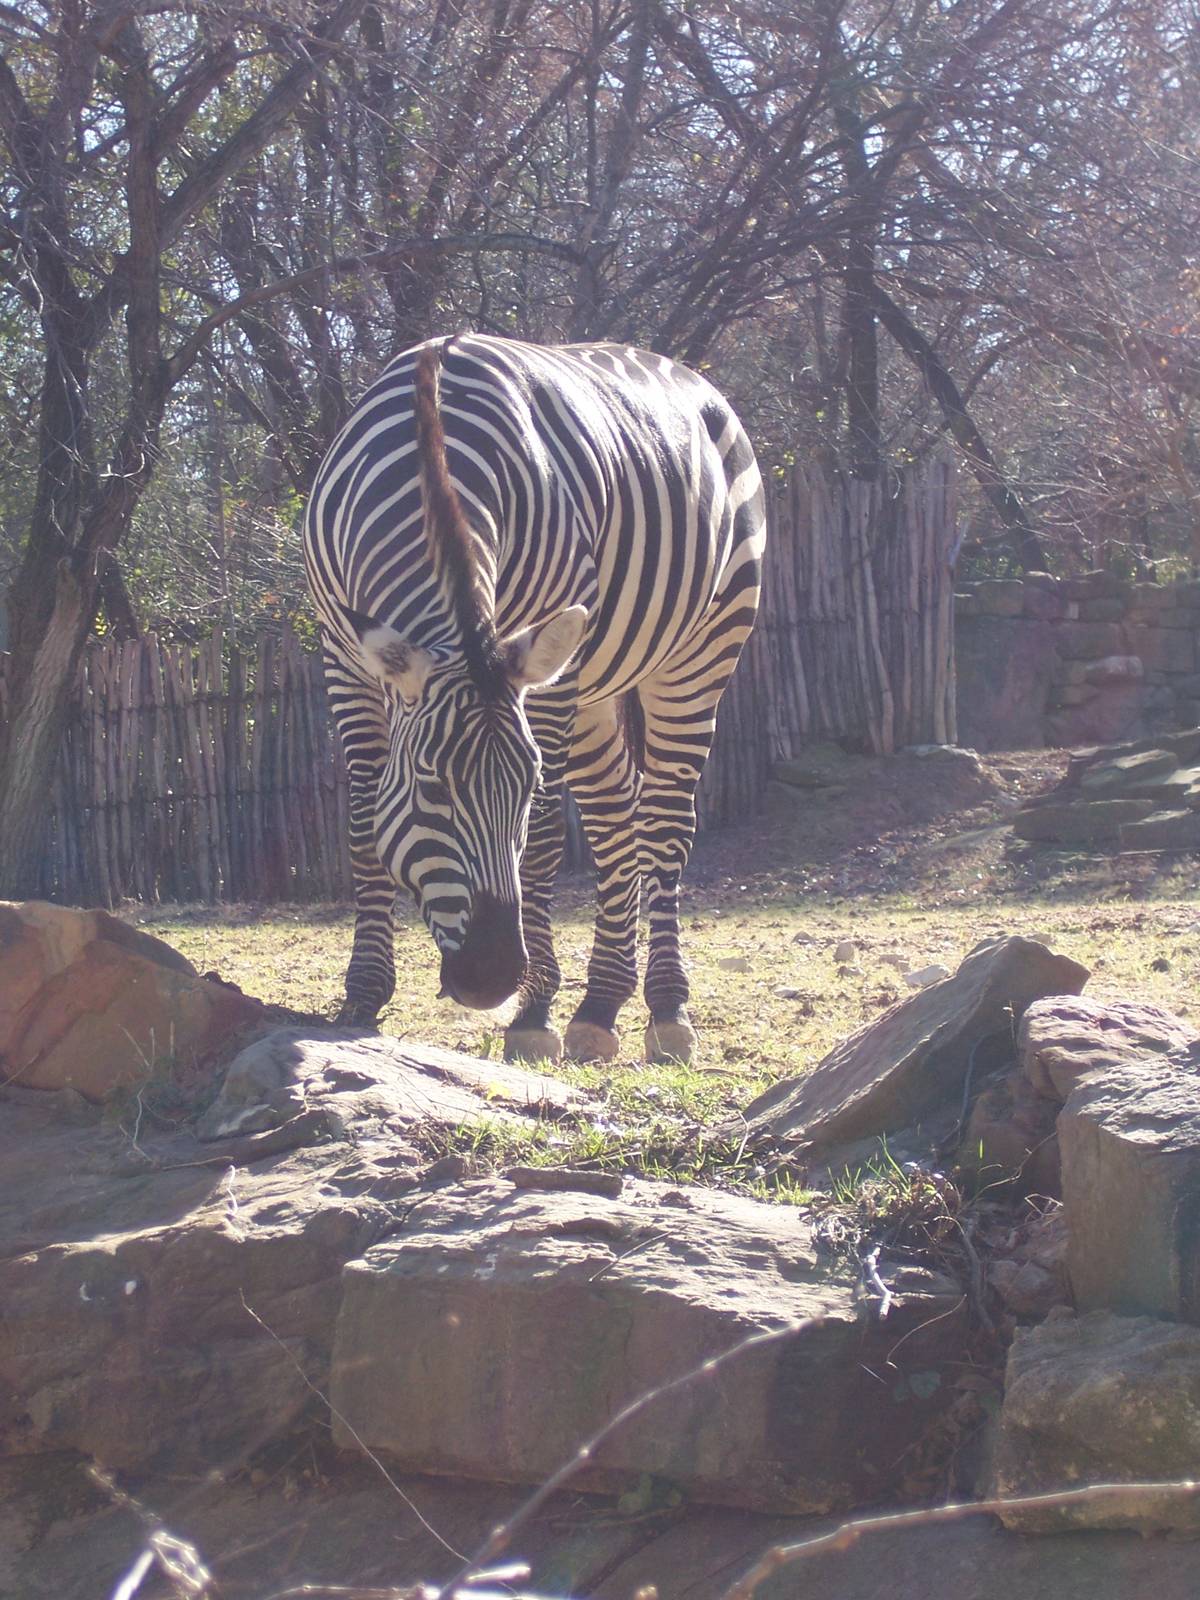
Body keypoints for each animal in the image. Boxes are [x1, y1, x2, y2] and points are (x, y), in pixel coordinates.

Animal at [303, 333, 764, 1064]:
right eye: (431, 787)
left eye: (523, 786)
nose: (492, 978)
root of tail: (691, 376)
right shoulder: (343, 654)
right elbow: (360, 821)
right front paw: (363, 995)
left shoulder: (543, 673)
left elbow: (544, 835)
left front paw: (533, 1011)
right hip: (597, 680)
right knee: (614, 816)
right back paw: (601, 1004)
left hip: (700, 649)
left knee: (663, 821)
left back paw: (665, 1008)